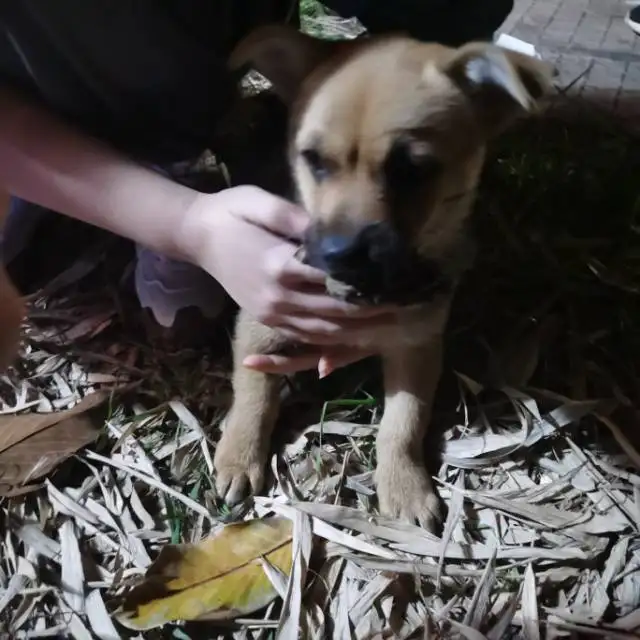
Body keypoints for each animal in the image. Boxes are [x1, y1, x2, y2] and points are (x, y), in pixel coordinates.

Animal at [212, 26, 552, 528]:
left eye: (412, 169)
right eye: (313, 159)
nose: (339, 254)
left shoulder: (418, 348)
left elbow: (404, 421)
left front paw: (404, 486)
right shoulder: (259, 324)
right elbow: (253, 392)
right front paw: (238, 457)